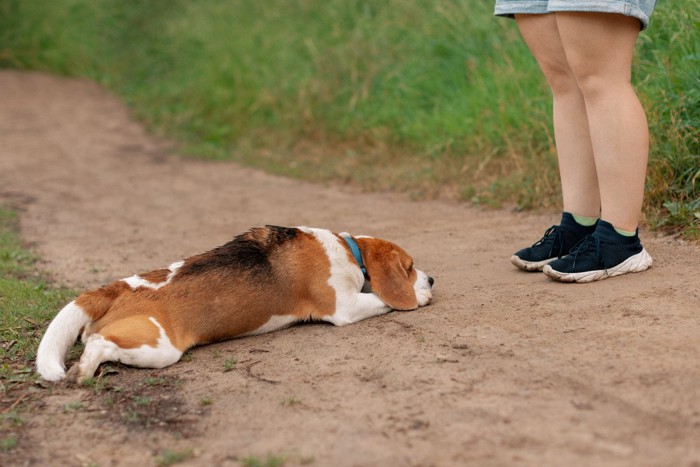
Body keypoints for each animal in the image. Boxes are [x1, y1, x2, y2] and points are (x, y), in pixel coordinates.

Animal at [38, 227, 434, 384]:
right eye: (410, 267)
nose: (431, 280)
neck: (348, 248)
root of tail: (119, 287)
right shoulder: (346, 306)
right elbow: (380, 298)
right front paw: (419, 295)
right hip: (157, 347)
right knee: (98, 345)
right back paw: (84, 371)